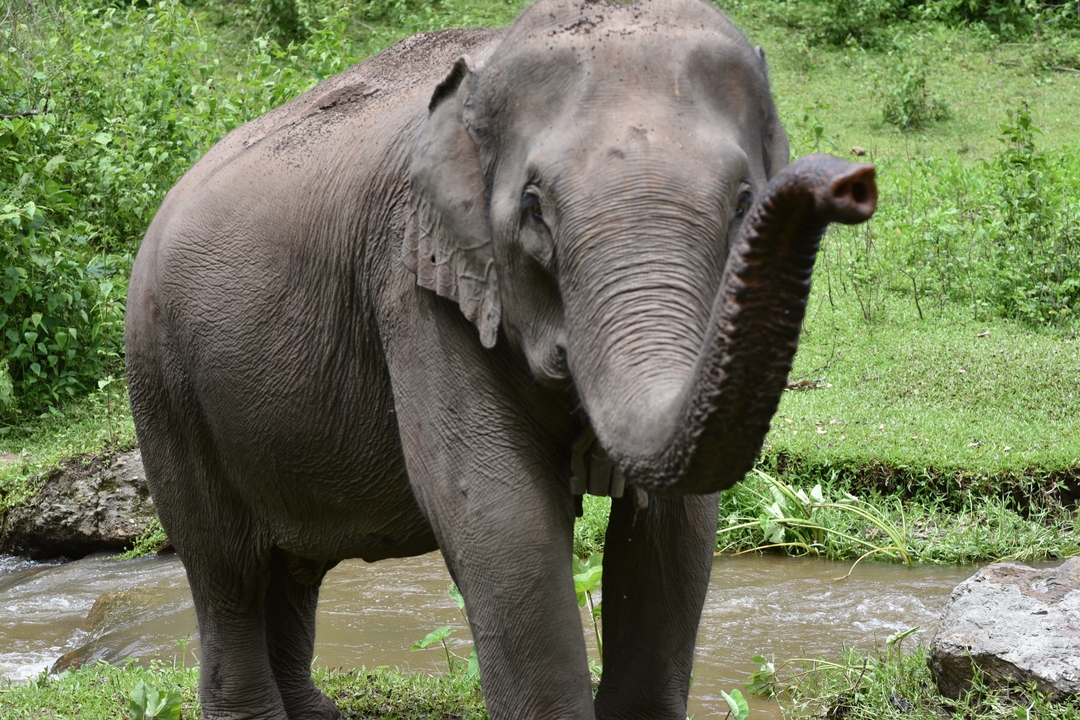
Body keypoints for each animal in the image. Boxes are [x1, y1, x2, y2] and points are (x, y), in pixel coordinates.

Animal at [124, 0, 877, 717]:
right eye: (536, 209)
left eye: (744, 200)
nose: (855, 182)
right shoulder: (413, 280)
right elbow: (500, 515)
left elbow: (676, 529)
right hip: (163, 377)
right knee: (226, 567)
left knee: (292, 568)